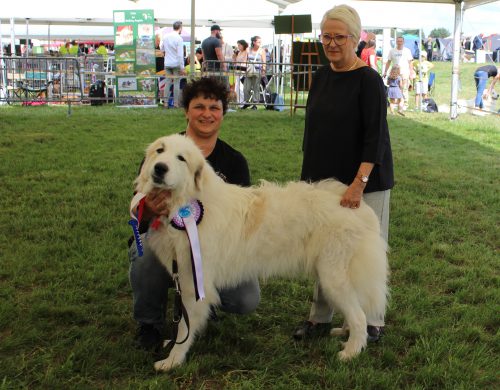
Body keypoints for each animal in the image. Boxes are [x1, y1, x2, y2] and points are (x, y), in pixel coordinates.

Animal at [135, 134, 388, 372]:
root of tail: (358, 207)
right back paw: (345, 334)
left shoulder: (193, 282)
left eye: (181, 158)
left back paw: (350, 353)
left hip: (333, 278)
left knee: (360, 316)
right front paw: (170, 345)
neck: (186, 203)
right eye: (160, 150)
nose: (160, 168)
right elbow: (181, 320)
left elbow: (184, 326)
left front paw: (172, 360)